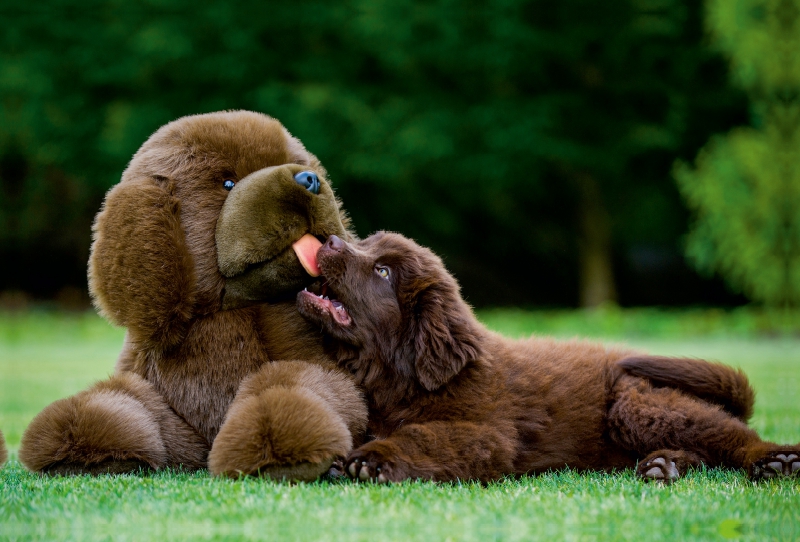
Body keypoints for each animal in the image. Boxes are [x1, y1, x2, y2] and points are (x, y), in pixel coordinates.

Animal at [298, 233, 800, 484]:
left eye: (383, 271)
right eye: (365, 241)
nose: (331, 240)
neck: (397, 378)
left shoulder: (488, 433)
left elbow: (421, 436)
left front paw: (373, 458)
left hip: (635, 405)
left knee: (730, 434)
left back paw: (774, 460)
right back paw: (666, 466)